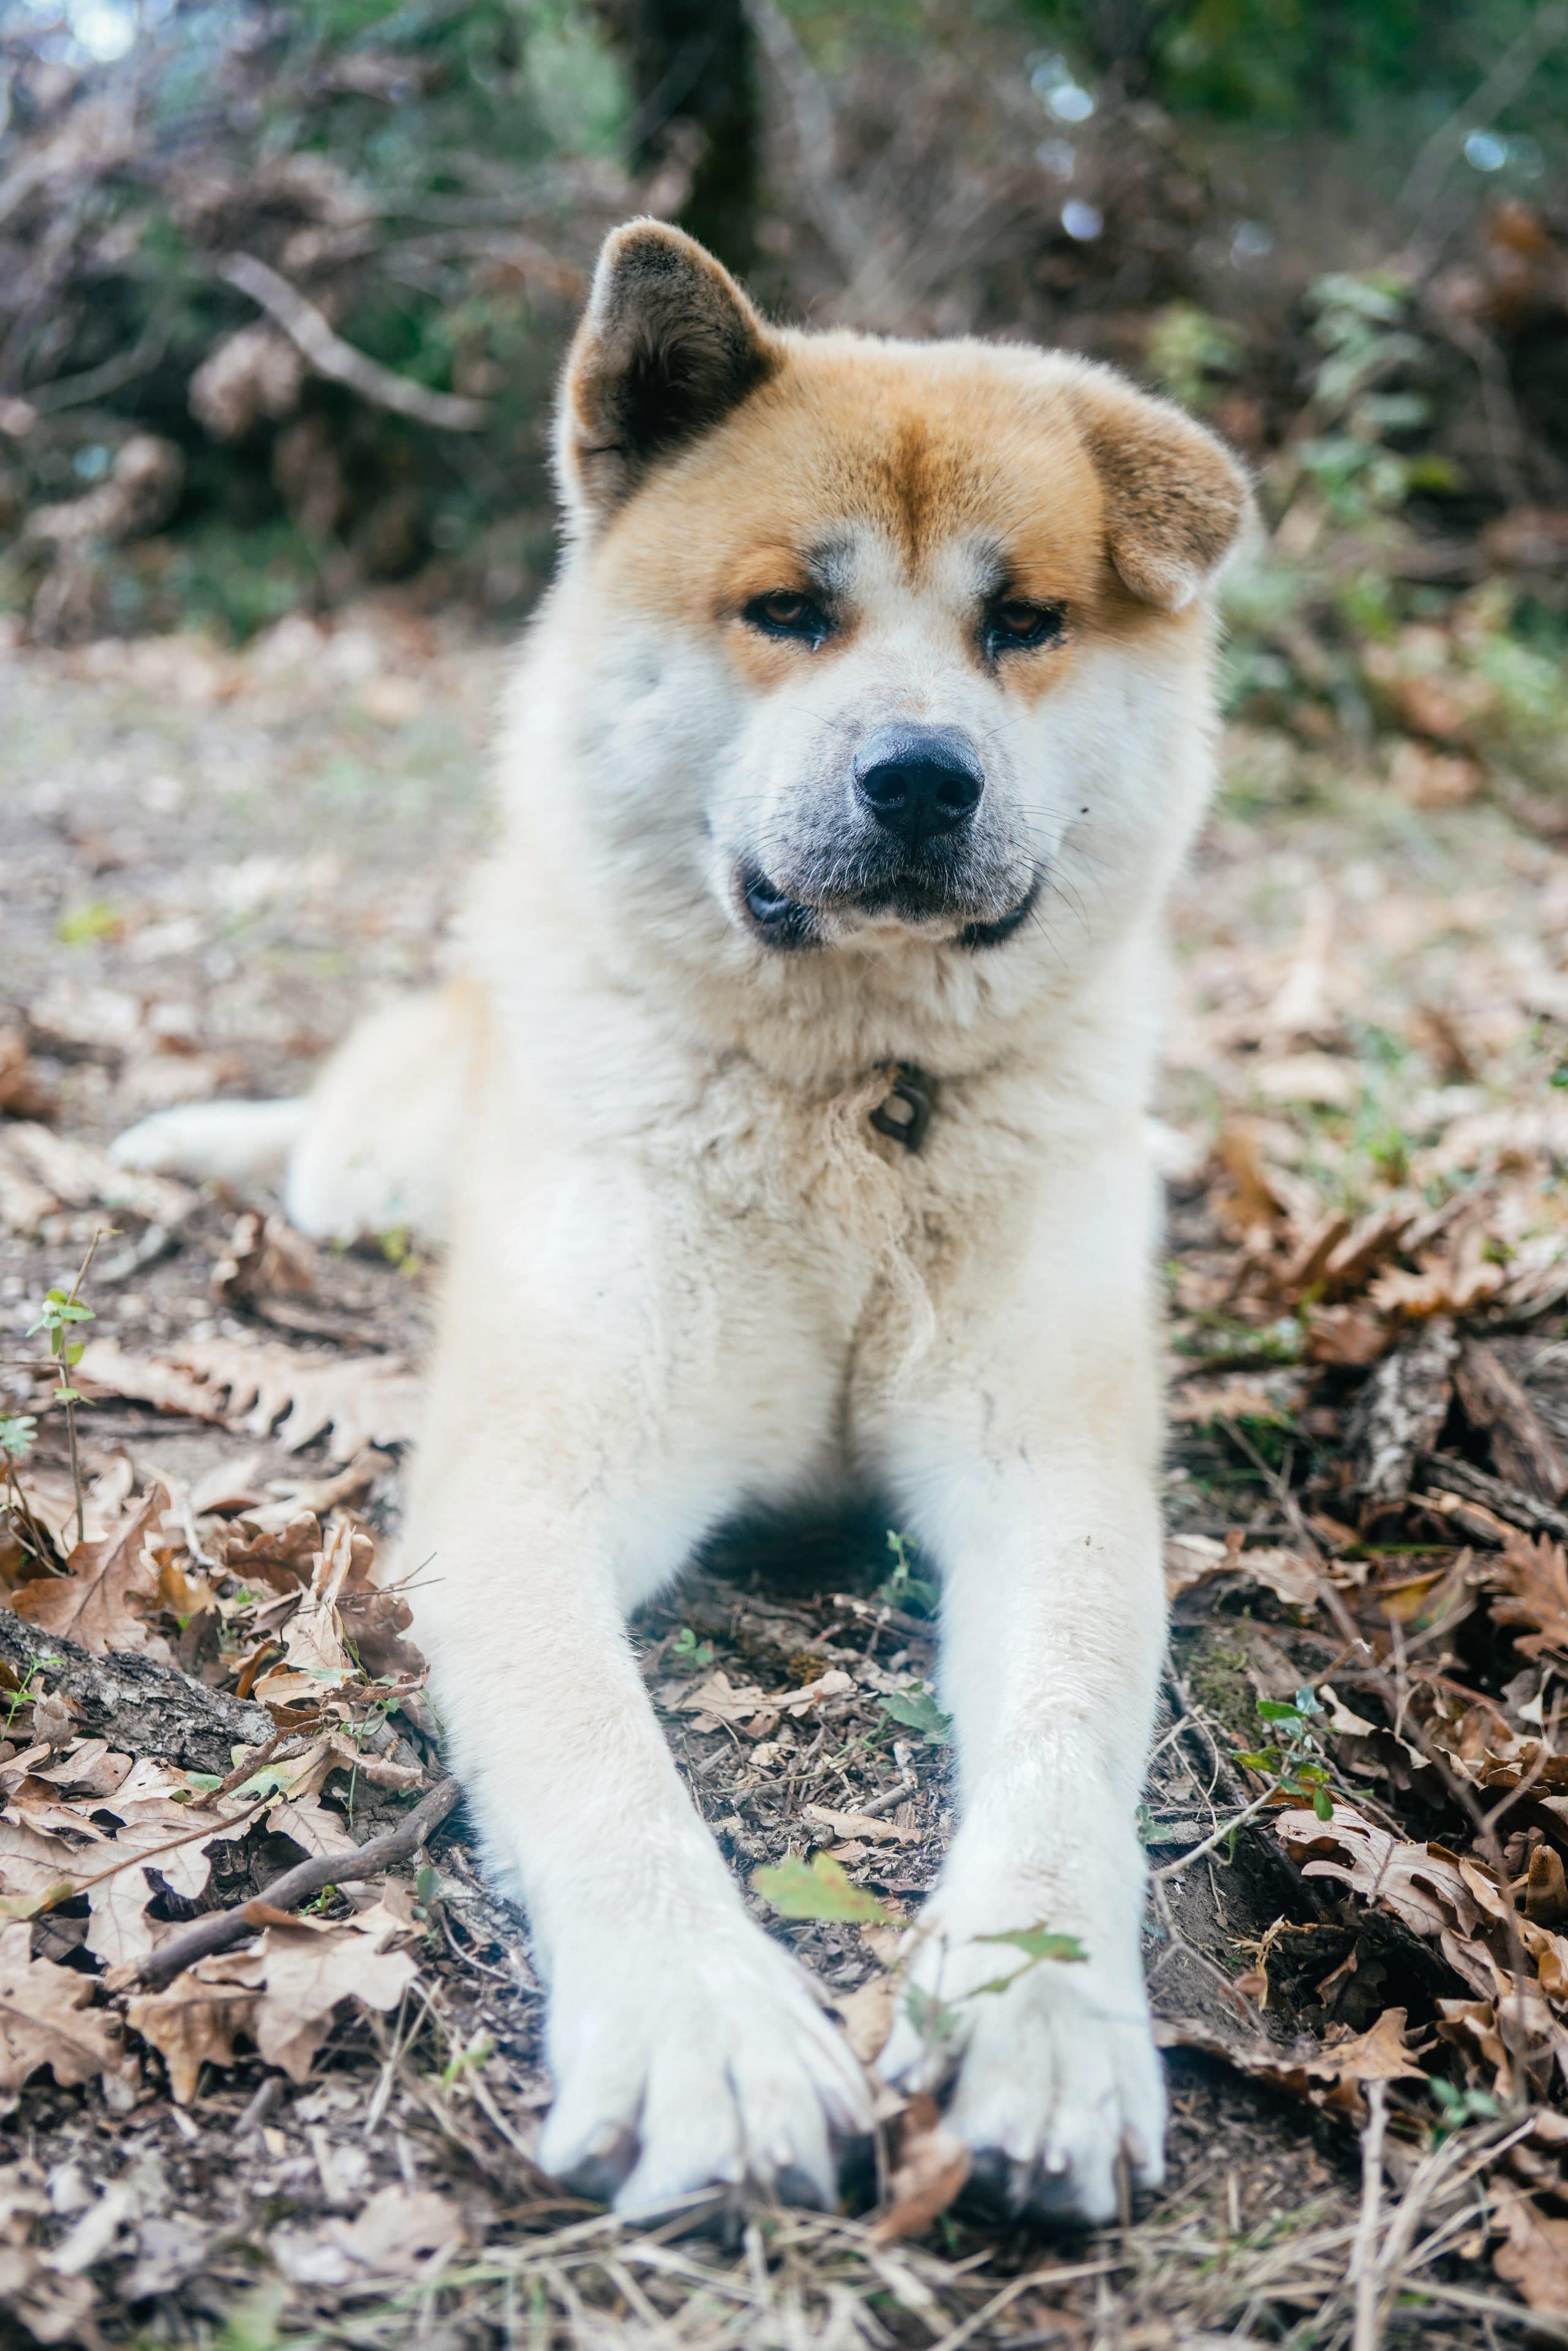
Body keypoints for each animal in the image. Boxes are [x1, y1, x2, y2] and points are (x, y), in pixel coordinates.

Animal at [116, 221, 1250, 2219]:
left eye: (1021, 624)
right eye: (787, 611)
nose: (920, 775)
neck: (853, 1108)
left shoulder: (1050, 1475)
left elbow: (1057, 1748)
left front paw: (1035, 2011)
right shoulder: (527, 1485)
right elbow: (604, 1763)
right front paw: (701, 2029)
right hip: (379, 1162)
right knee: (322, 1151)